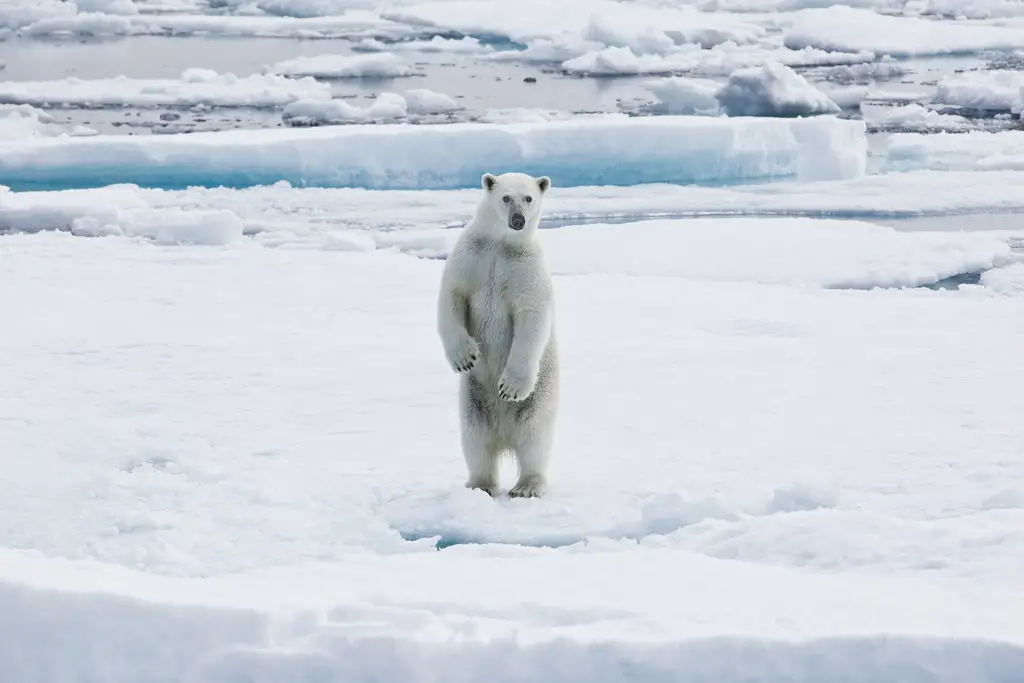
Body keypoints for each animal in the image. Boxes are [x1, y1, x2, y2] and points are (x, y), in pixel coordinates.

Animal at [434, 174, 561, 499]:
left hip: (540, 396)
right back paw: (480, 484)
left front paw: (509, 387)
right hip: (472, 400)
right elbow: (452, 296)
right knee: (475, 440)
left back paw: (527, 486)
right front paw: (465, 357)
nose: (518, 220)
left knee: (534, 437)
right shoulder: (470, 256)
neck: (501, 245)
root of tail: (505, 436)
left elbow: (532, 318)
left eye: (528, 198)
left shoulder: (526, 269)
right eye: (506, 197)